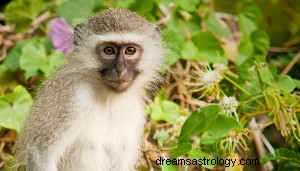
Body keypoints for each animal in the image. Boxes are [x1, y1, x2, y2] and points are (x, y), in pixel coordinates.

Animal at [14, 8, 165, 171]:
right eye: (109, 50)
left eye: (130, 50)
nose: (120, 69)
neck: (108, 98)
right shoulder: (72, 99)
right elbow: (40, 153)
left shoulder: (135, 110)